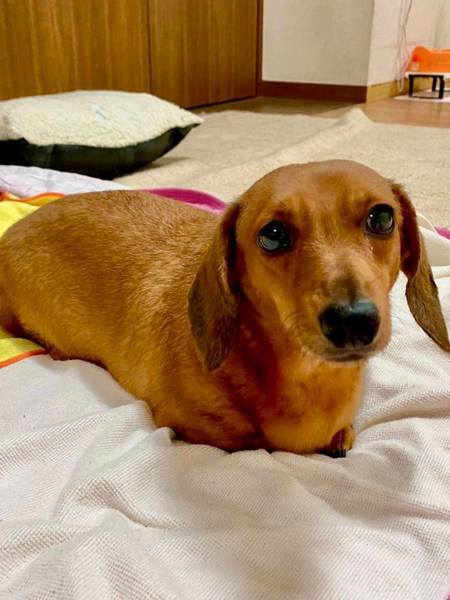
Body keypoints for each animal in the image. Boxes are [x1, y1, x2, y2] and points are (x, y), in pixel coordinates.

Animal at [0, 160, 448, 456]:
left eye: (382, 218)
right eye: (273, 234)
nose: (353, 321)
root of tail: (11, 233)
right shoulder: (192, 426)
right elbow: (247, 441)